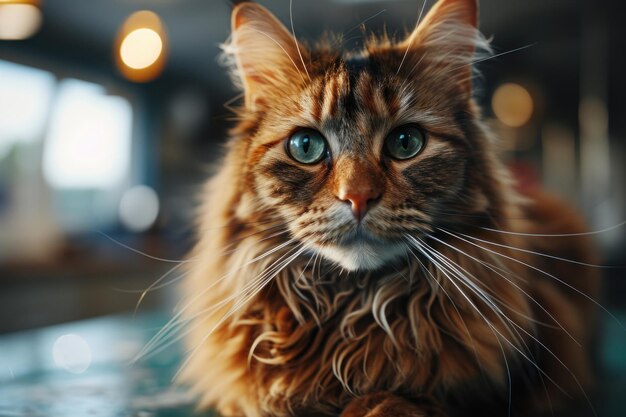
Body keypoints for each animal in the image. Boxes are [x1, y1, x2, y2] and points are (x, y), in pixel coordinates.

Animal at [174, 1, 596, 414]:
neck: (353, 314)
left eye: (406, 142)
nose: (357, 196)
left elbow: (407, 400)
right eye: (305, 146)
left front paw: (378, 403)